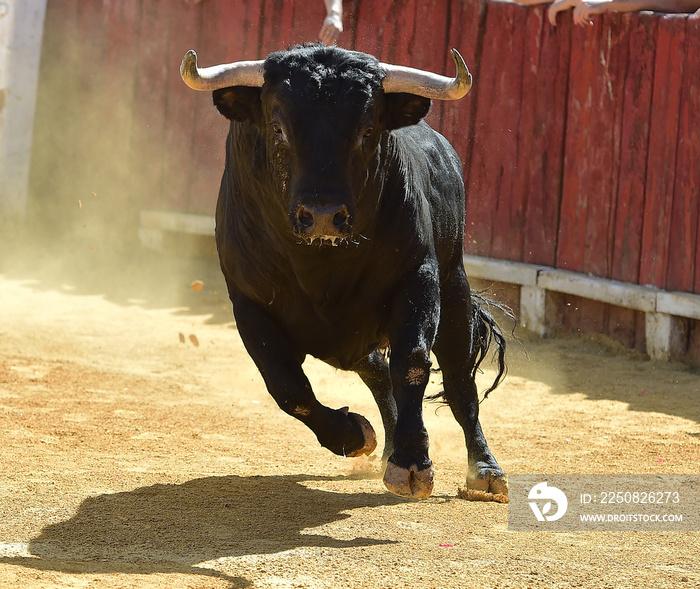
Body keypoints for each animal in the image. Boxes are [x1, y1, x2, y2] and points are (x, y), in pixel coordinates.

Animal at [183, 43, 506, 498]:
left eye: (367, 131)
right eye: (278, 129)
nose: (321, 215)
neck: (322, 265)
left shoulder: (418, 278)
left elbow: (412, 363)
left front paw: (411, 463)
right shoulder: (248, 303)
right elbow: (286, 386)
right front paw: (354, 436)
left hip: (454, 285)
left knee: (459, 379)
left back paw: (485, 471)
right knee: (376, 372)